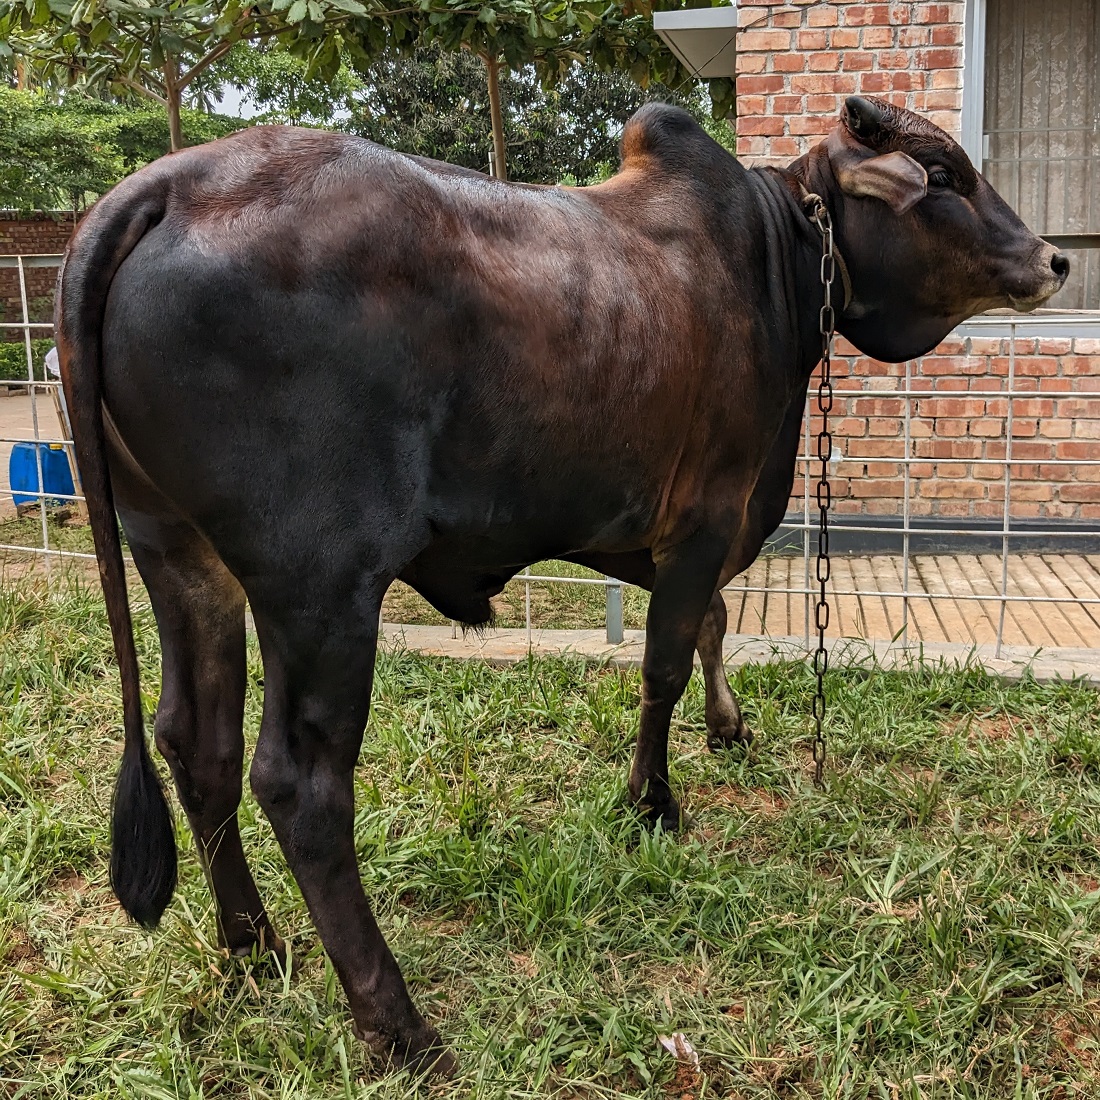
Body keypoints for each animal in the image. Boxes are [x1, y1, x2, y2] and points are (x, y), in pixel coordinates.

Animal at [58, 94, 1064, 1073]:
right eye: (942, 176)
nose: (1052, 258)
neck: (774, 262)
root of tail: (165, 184)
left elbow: (713, 623)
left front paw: (728, 728)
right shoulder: (706, 515)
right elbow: (664, 661)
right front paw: (652, 801)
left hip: (179, 553)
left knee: (198, 745)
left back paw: (253, 944)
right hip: (320, 586)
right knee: (299, 785)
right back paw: (398, 1025)